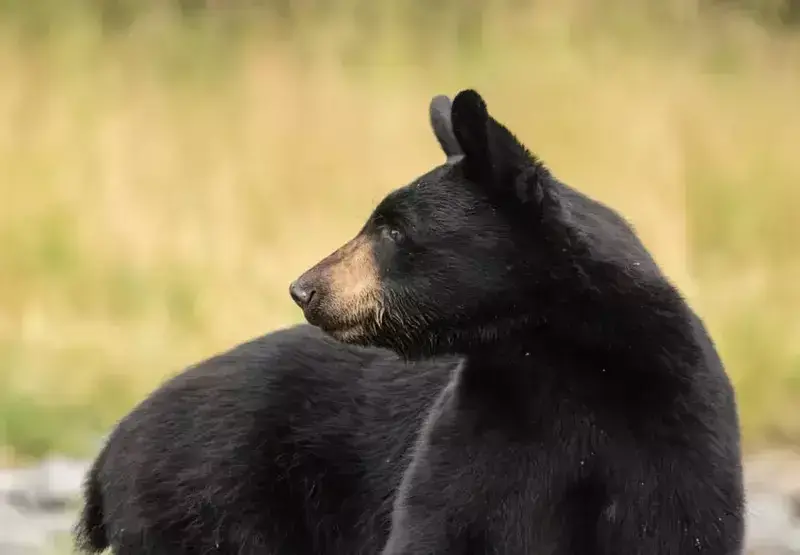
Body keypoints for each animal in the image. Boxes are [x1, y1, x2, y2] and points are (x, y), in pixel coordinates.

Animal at [288, 89, 746, 554]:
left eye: (395, 231)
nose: (304, 289)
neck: (558, 352)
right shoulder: (481, 424)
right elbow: (435, 522)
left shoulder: (672, 434)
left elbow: (677, 528)